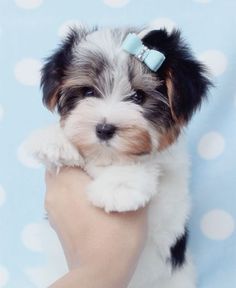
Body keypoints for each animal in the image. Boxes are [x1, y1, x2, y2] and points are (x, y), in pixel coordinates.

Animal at [26, 25, 212, 286]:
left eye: (139, 97)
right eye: (88, 92)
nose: (104, 129)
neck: (106, 159)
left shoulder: (170, 203)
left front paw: (120, 185)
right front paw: (53, 140)